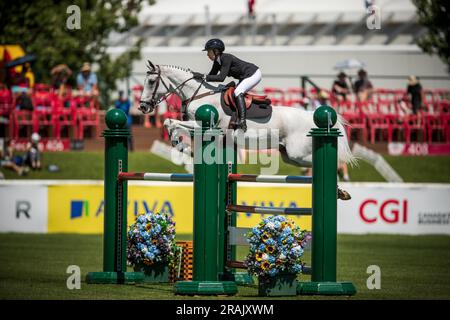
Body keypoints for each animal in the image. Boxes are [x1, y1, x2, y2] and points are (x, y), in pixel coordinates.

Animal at [139, 61, 356, 199]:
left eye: (151, 82)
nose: (142, 107)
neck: (199, 94)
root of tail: (310, 115)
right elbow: (169, 123)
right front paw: (180, 145)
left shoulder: (205, 126)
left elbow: (172, 122)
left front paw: (181, 146)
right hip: (290, 156)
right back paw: (341, 190)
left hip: (298, 153)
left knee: (327, 163)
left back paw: (340, 188)